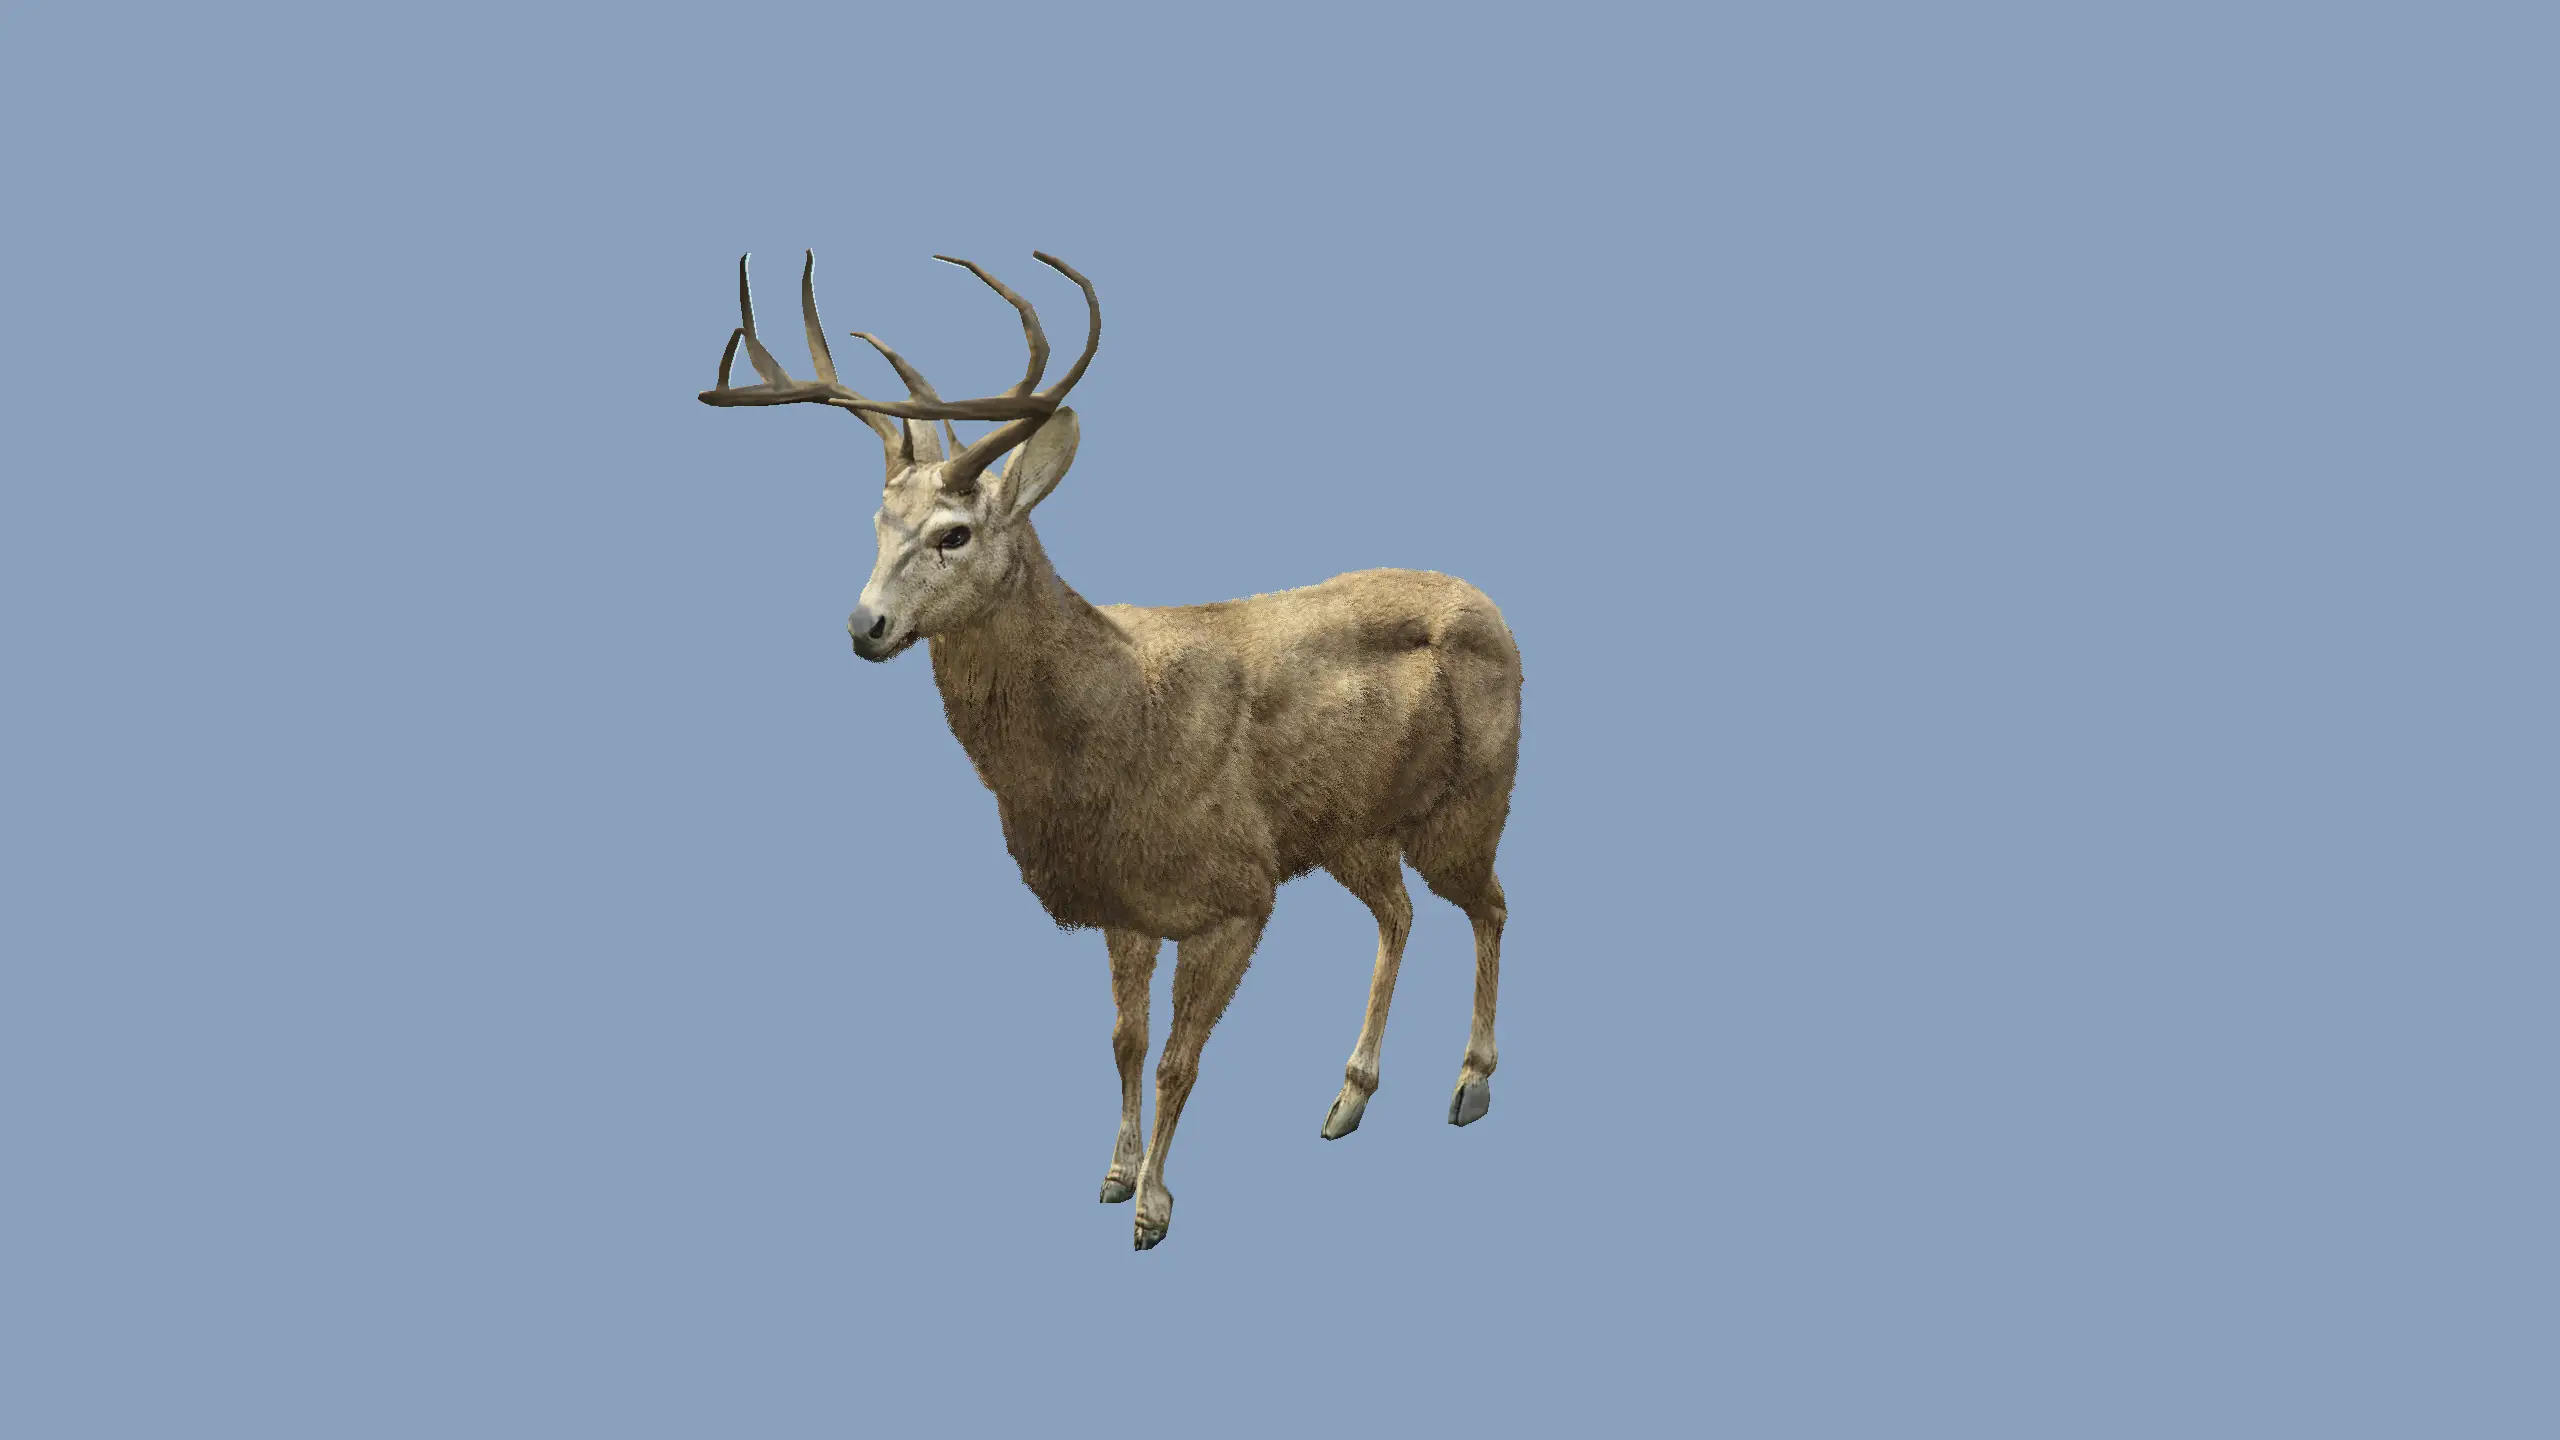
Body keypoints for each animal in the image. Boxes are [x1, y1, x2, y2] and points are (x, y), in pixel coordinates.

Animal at [696, 251, 1522, 1249]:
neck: (1117, 721)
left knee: (1490, 905)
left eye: (953, 533)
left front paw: (1155, 1209)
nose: (865, 626)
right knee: (1398, 914)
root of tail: (1498, 612)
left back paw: (1471, 1084)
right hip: (1351, 831)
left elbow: (1177, 1059)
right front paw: (1116, 1173)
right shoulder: (1127, 900)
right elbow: (1125, 1042)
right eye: (876, 525)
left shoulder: (1233, 888)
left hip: (1472, 798)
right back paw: (1348, 1098)